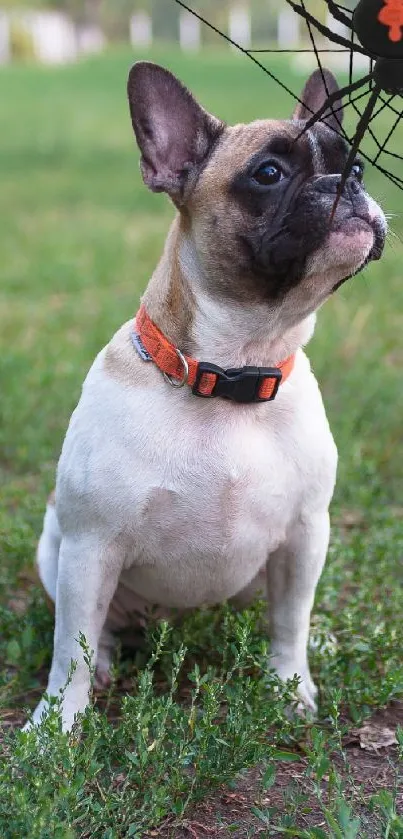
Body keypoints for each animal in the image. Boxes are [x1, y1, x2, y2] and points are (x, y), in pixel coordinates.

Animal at [26, 60, 386, 728]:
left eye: (356, 167)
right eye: (268, 174)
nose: (346, 183)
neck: (234, 369)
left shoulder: (306, 534)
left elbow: (290, 621)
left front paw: (290, 687)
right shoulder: (90, 547)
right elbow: (71, 649)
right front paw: (56, 724)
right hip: (55, 549)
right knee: (96, 631)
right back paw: (108, 662)